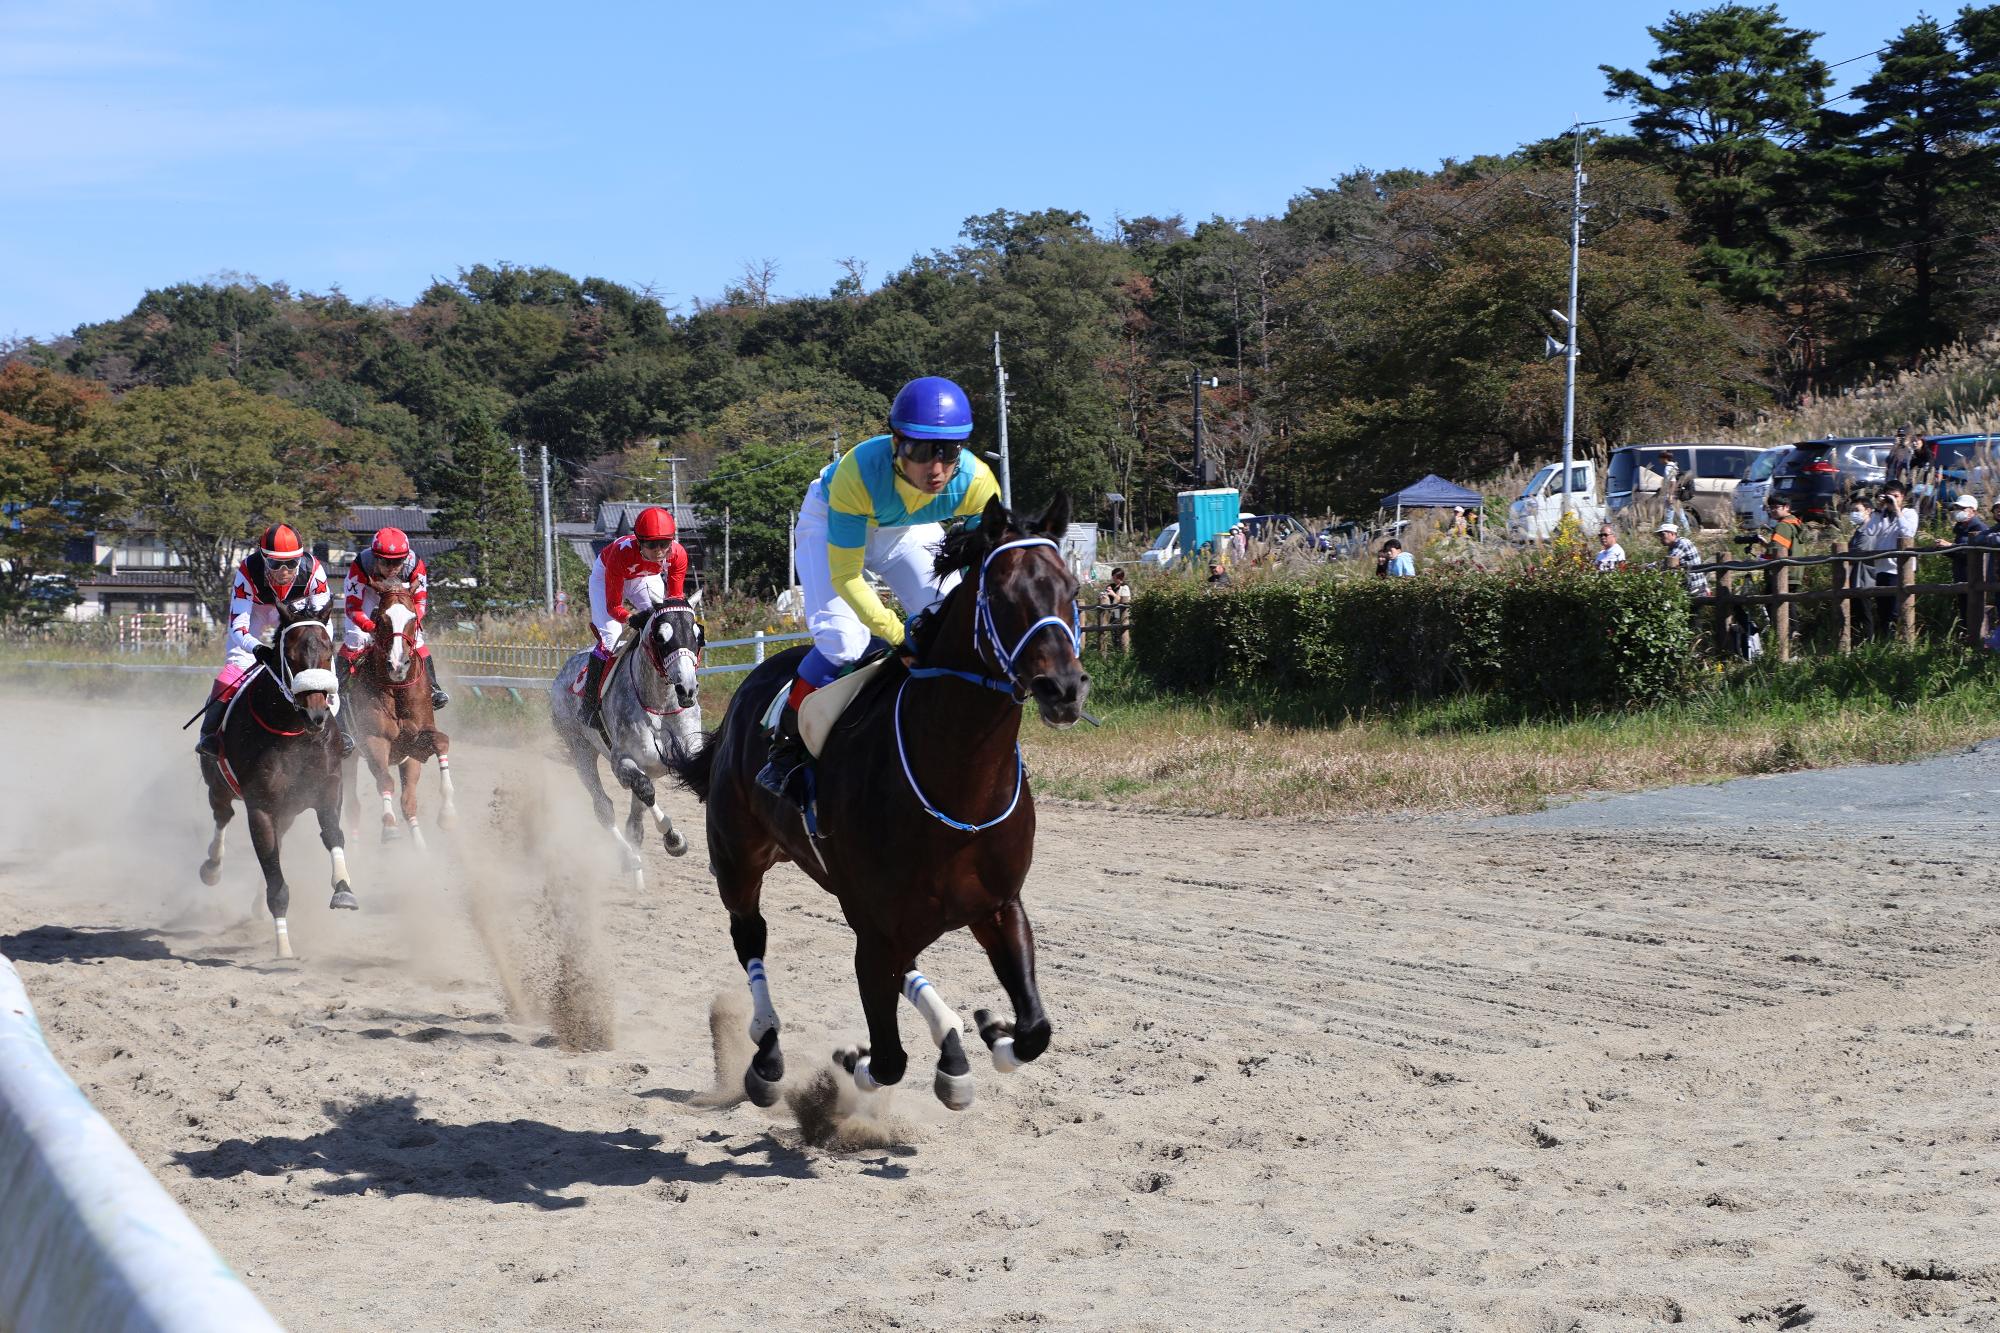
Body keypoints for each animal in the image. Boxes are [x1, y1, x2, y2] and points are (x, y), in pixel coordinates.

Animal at [196, 604, 355, 960]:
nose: (316, 714)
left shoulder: (328, 788)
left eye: (329, 650)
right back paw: (212, 867)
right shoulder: (260, 807)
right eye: (291, 656)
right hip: (218, 785)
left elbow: (333, 834)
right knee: (222, 815)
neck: (293, 731)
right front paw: (283, 948)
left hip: (289, 810)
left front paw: (343, 889)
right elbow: (275, 877)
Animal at [342, 581, 457, 849]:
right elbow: (385, 781)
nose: (397, 664)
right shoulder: (374, 740)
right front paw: (389, 828)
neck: (395, 689)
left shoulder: (414, 746)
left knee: (407, 802)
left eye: (413, 618)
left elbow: (441, 742)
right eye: (380, 617)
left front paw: (447, 814)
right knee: (352, 806)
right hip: (346, 758)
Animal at [549, 597, 704, 884]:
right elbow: (645, 790)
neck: (660, 705)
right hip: (579, 747)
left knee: (634, 823)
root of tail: (564, 668)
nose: (687, 689)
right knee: (604, 807)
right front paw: (674, 840)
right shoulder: (623, 763)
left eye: (698, 635)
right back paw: (629, 859)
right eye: (660, 637)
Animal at [665, 493, 1088, 1112]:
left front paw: (993, 1030)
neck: (957, 785)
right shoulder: (876, 930)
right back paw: (767, 1052)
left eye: (1072, 589)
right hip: (739, 861)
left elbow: (1036, 1031)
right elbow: (888, 1060)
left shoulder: (998, 906)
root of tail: (750, 683)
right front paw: (853, 1060)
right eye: (1003, 595)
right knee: (750, 937)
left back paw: (953, 1045)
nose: (1065, 689)